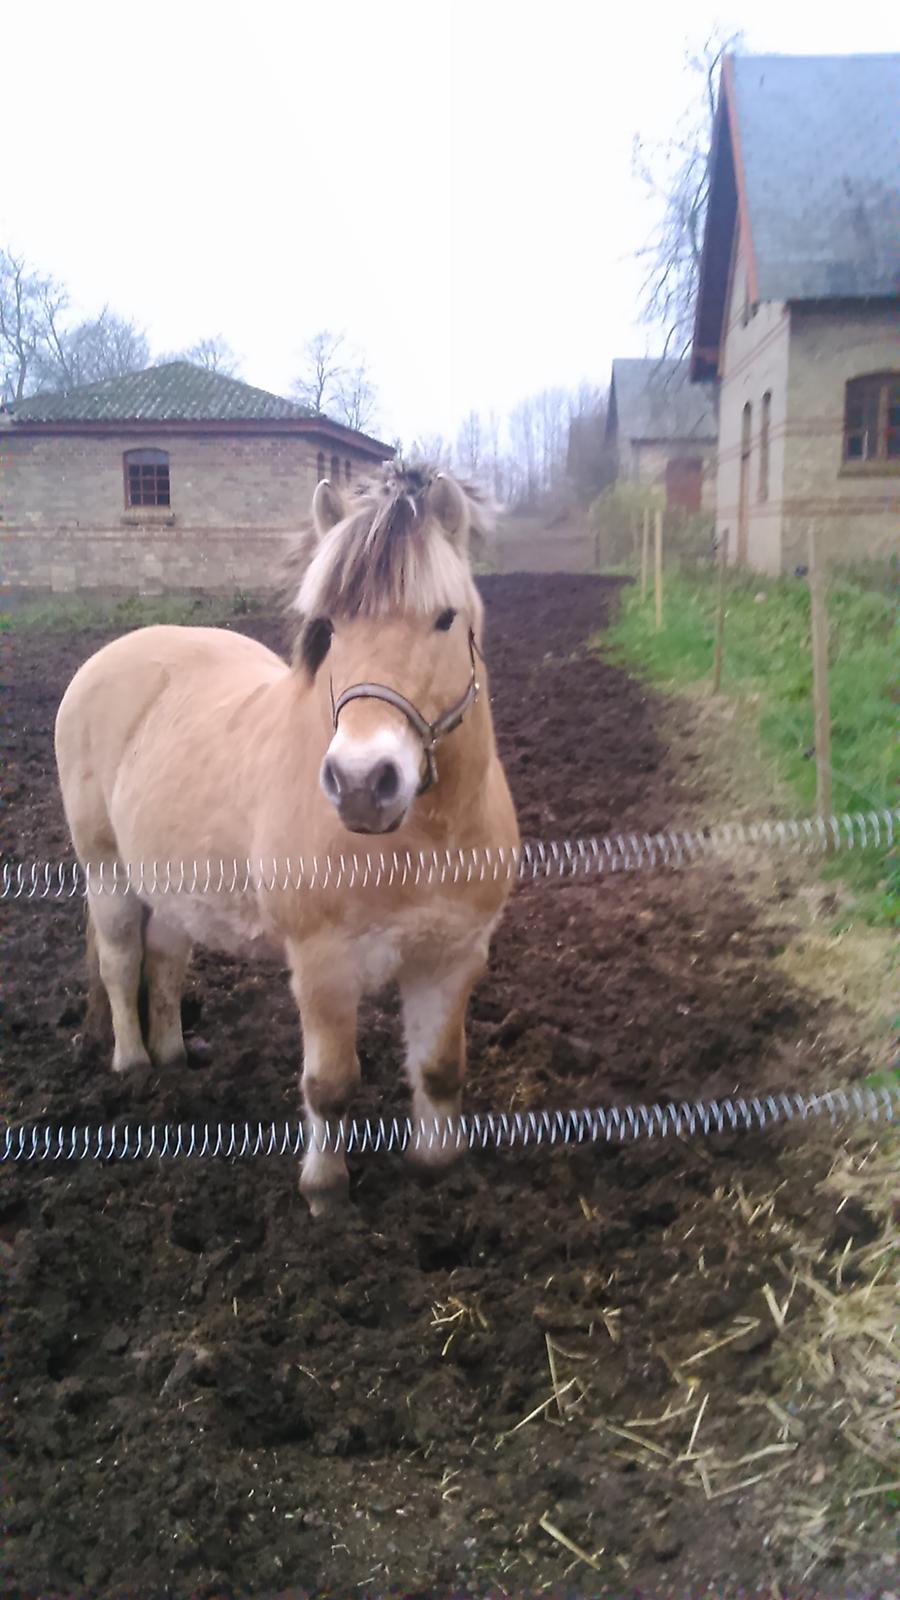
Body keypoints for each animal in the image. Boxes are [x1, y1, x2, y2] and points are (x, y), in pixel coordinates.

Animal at [54, 464, 518, 1209]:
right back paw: (133, 1065)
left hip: (174, 884)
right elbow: (330, 1086)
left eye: (446, 618)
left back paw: (174, 1057)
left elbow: (441, 1069)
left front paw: (437, 1168)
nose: (362, 782)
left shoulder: (454, 955)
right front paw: (325, 1193)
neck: (420, 841)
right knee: (122, 960)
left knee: (165, 958)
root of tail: (115, 654)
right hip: (108, 872)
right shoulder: (324, 964)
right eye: (328, 626)